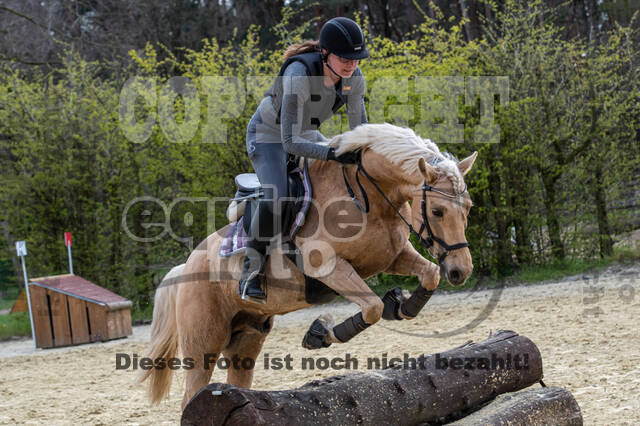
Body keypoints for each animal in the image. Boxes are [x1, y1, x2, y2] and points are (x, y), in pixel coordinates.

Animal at [138, 123, 476, 410]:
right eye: (437, 210)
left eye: (468, 208)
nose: (461, 271)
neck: (366, 195)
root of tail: (185, 267)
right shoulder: (327, 267)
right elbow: (372, 307)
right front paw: (320, 333)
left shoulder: (394, 257)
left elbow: (429, 275)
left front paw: (401, 305)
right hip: (203, 342)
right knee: (192, 393)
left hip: (246, 339)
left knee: (237, 381)